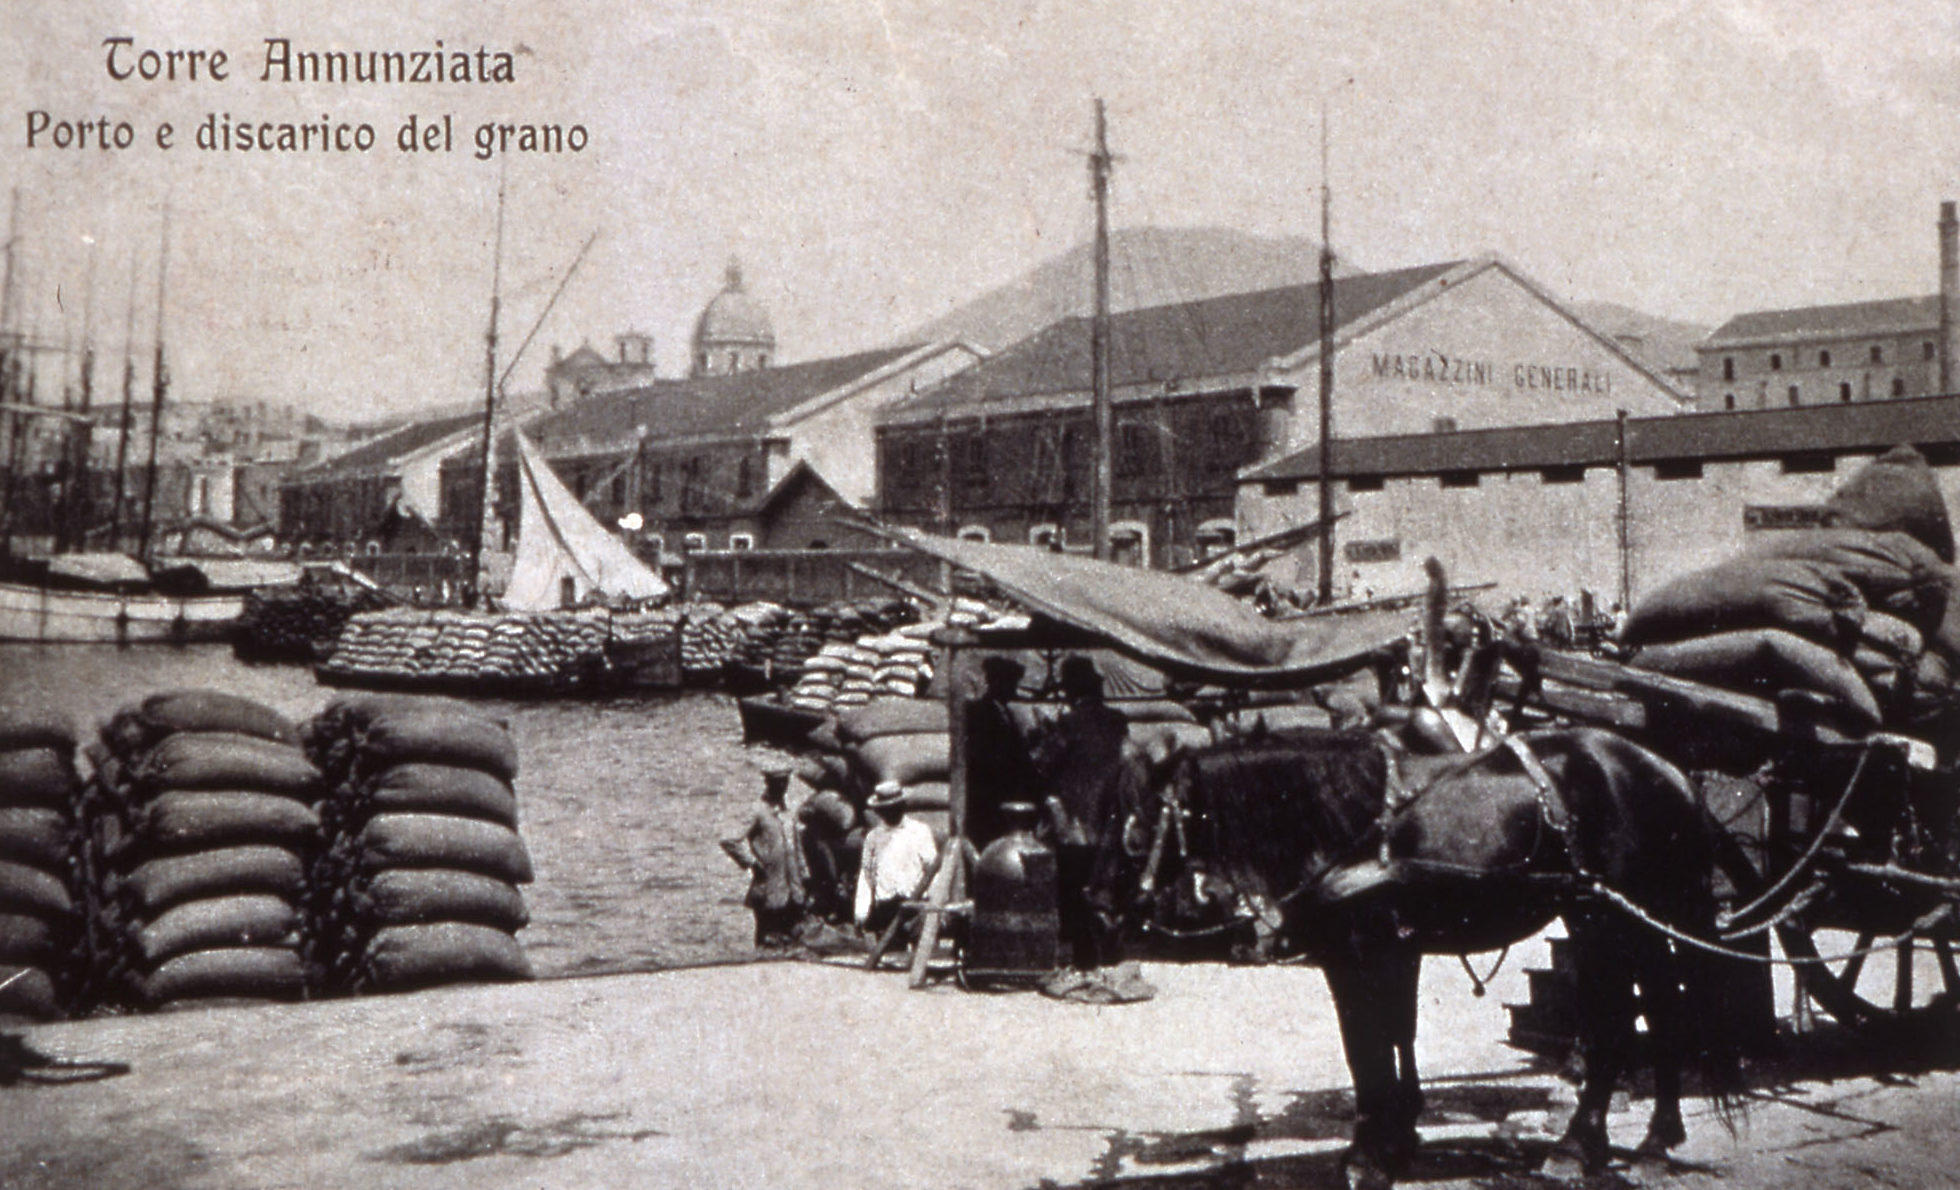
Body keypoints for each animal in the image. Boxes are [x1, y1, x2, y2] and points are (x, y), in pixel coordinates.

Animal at [1089, 721, 1748, 1184]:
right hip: (1603, 917)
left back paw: (1611, 1145)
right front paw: (1397, 1138)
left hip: (1624, 916)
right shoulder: (1383, 950)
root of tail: (1671, 770)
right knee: (1640, 1014)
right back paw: (1626, 1142)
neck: (1343, 821)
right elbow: (1390, 1037)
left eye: (1137, 826)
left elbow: (1367, 1047)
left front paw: (1369, 1155)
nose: (1096, 907)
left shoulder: (1364, 950)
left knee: (1637, 1019)